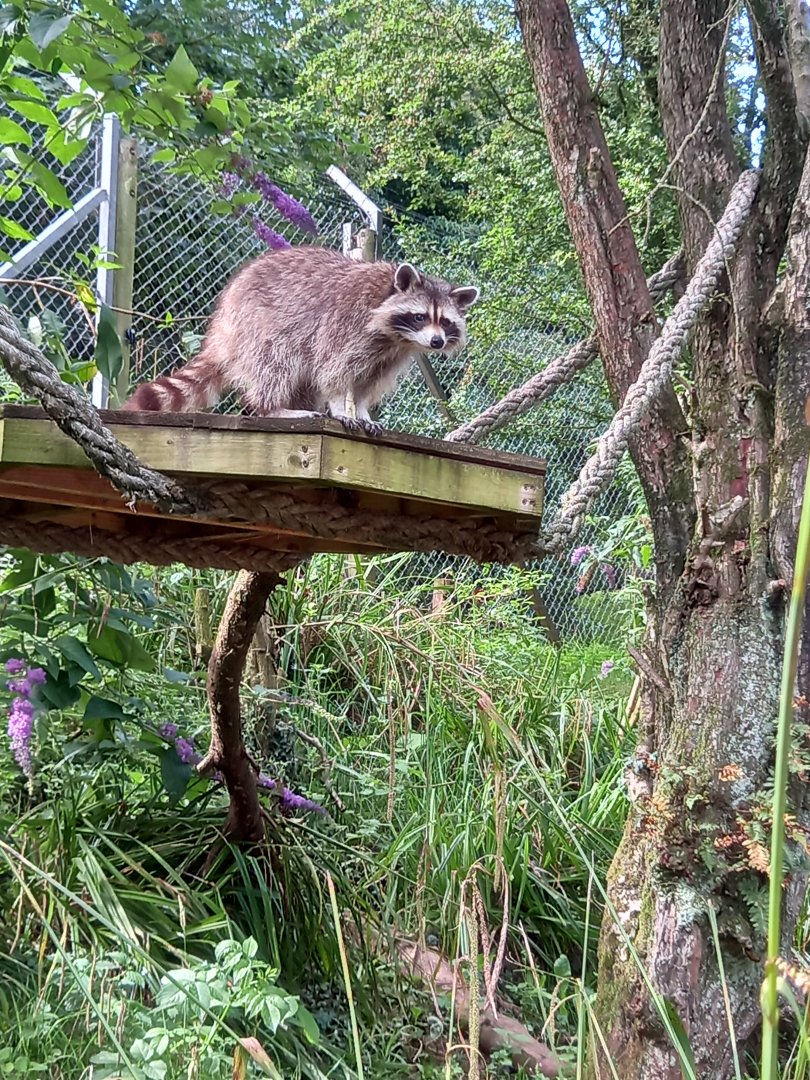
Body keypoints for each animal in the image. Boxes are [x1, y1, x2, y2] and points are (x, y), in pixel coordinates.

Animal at [120, 246, 479, 436]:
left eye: (445, 322)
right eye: (420, 316)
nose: (436, 342)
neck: (395, 335)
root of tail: (223, 321)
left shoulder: (392, 353)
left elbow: (368, 383)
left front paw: (363, 410)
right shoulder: (347, 323)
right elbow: (333, 371)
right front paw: (340, 406)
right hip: (259, 325)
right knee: (276, 363)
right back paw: (272, 408)